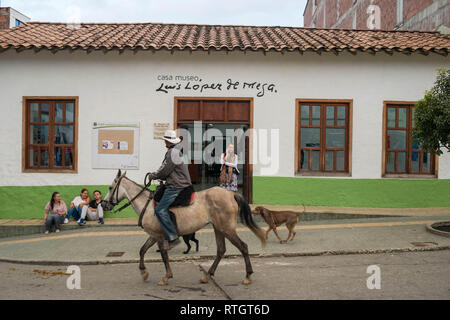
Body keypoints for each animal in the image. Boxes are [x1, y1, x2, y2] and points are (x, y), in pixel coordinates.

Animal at [103, 171, 264, 286]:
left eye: (111, 187)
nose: (104, 204)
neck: (147, 205)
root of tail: (231, 194)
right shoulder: (154, 235)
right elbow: (142, 250)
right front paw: (144, 273)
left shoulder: (159, 236)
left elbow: (163, 255)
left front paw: (166, 277)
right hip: (218, 228)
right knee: (221, 250)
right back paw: (207, 275)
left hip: (227, 229)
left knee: (243, 247)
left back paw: (247, 276)